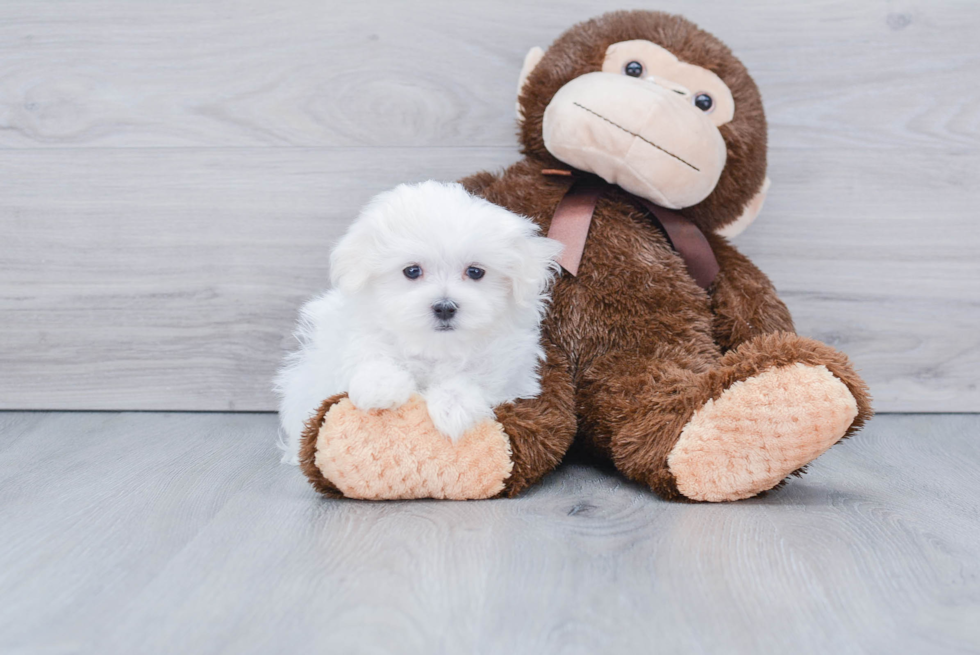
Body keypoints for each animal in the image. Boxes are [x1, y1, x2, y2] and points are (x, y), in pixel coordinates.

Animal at [276, 182, 568, 464]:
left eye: (475, 272)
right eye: (412, 271)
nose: (445, 307)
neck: (436, 346)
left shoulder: (509, 369)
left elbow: (475, 376)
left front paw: (453, 408)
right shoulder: (356, 339)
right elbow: (372, 356)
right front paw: (379, 387)